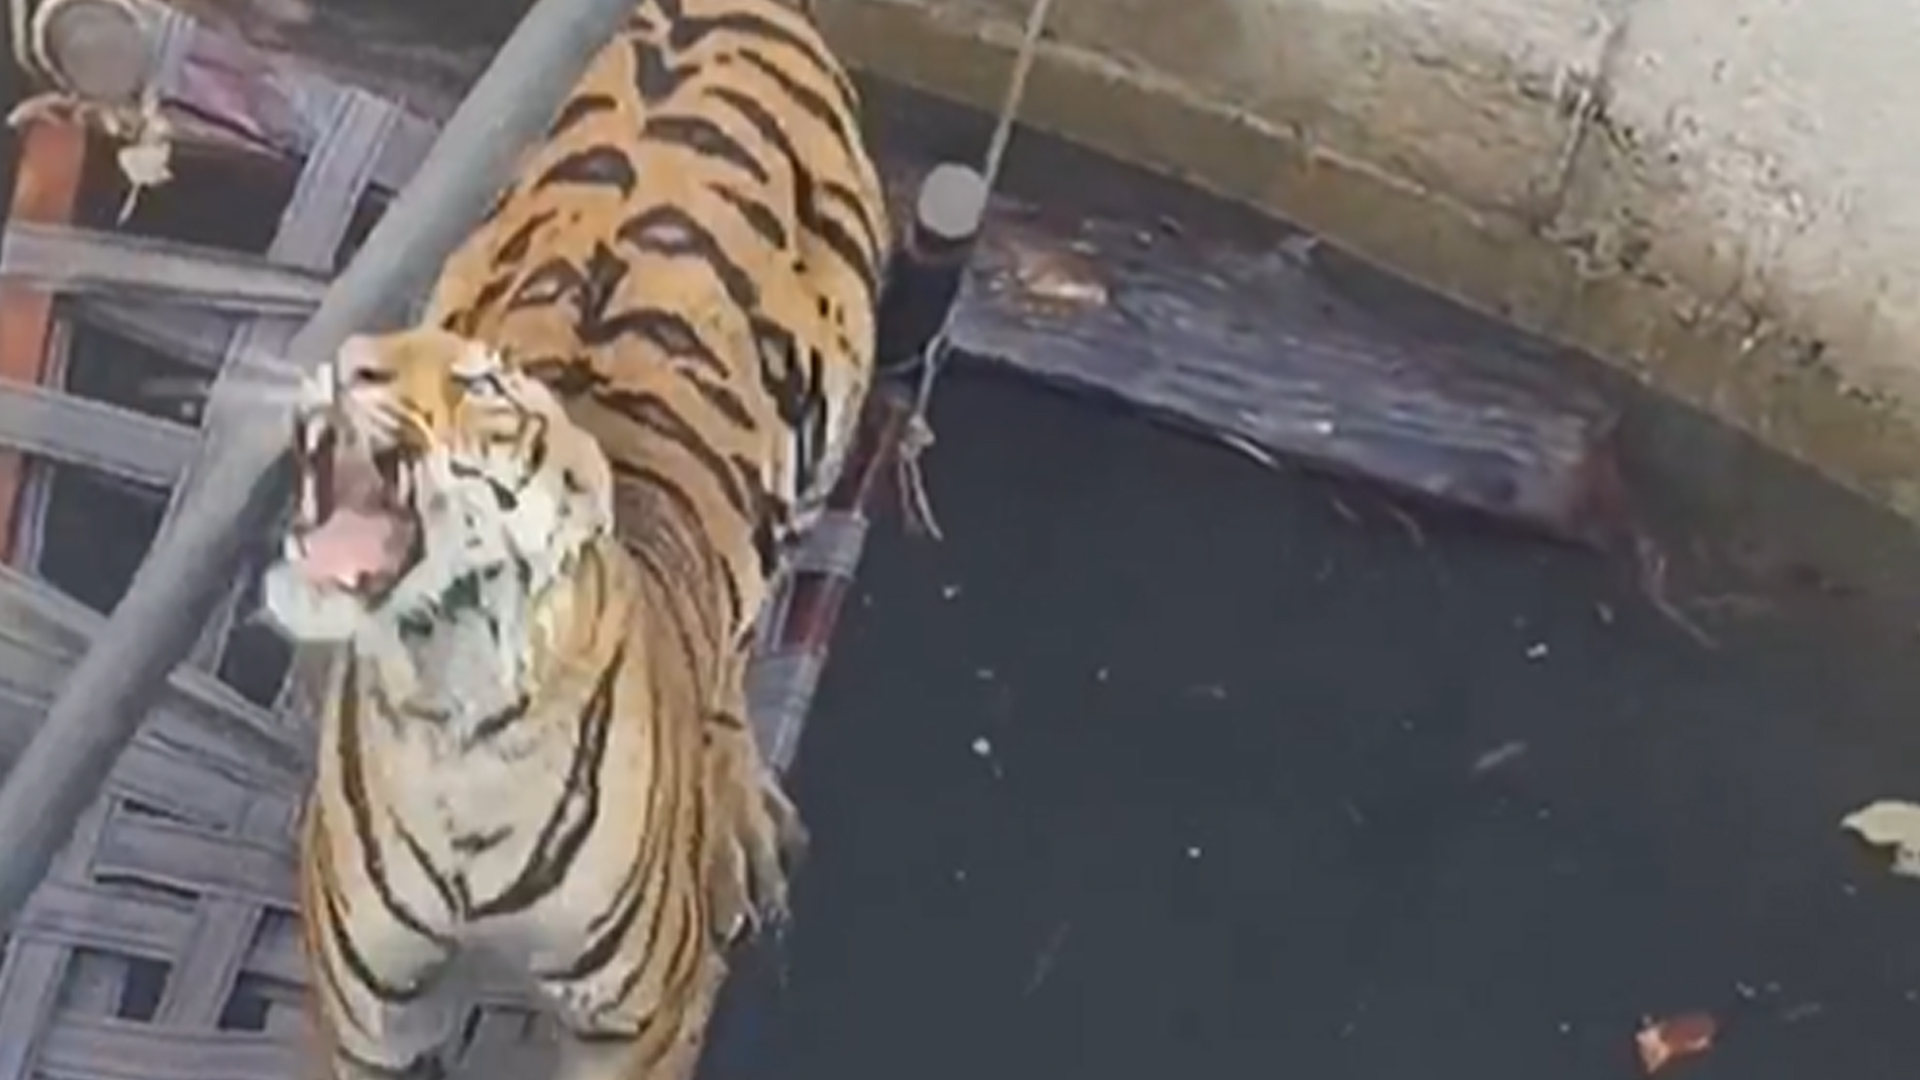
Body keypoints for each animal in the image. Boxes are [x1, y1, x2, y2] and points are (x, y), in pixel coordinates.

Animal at [255, 0, 888, 1077]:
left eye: (476, 385)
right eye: (369, 352)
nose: (347, 376)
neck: (458, 735)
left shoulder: (639, 1026)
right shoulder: (373, 1016)